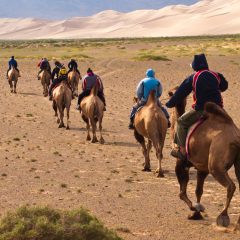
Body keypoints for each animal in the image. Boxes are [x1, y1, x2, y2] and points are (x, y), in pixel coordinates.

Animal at [168, 87, 240, 229]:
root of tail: (235, 138)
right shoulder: (202, 168)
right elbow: (198, 190)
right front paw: (196, 214)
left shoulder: (181, 161)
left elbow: (182, 192)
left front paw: (194, 208)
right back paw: (238, 222)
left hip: (216, 164)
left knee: (231, 186)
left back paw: (223, 216)